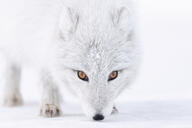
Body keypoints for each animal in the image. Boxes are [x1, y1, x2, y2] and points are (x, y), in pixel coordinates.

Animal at [0, 0, 139, 120]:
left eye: (113, 74)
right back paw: (11, 97)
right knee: (11, 65)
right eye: (81, 75)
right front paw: (49, 105)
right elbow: (47, 79)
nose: (98, 117)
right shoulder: (42, 43)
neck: (91, 4)